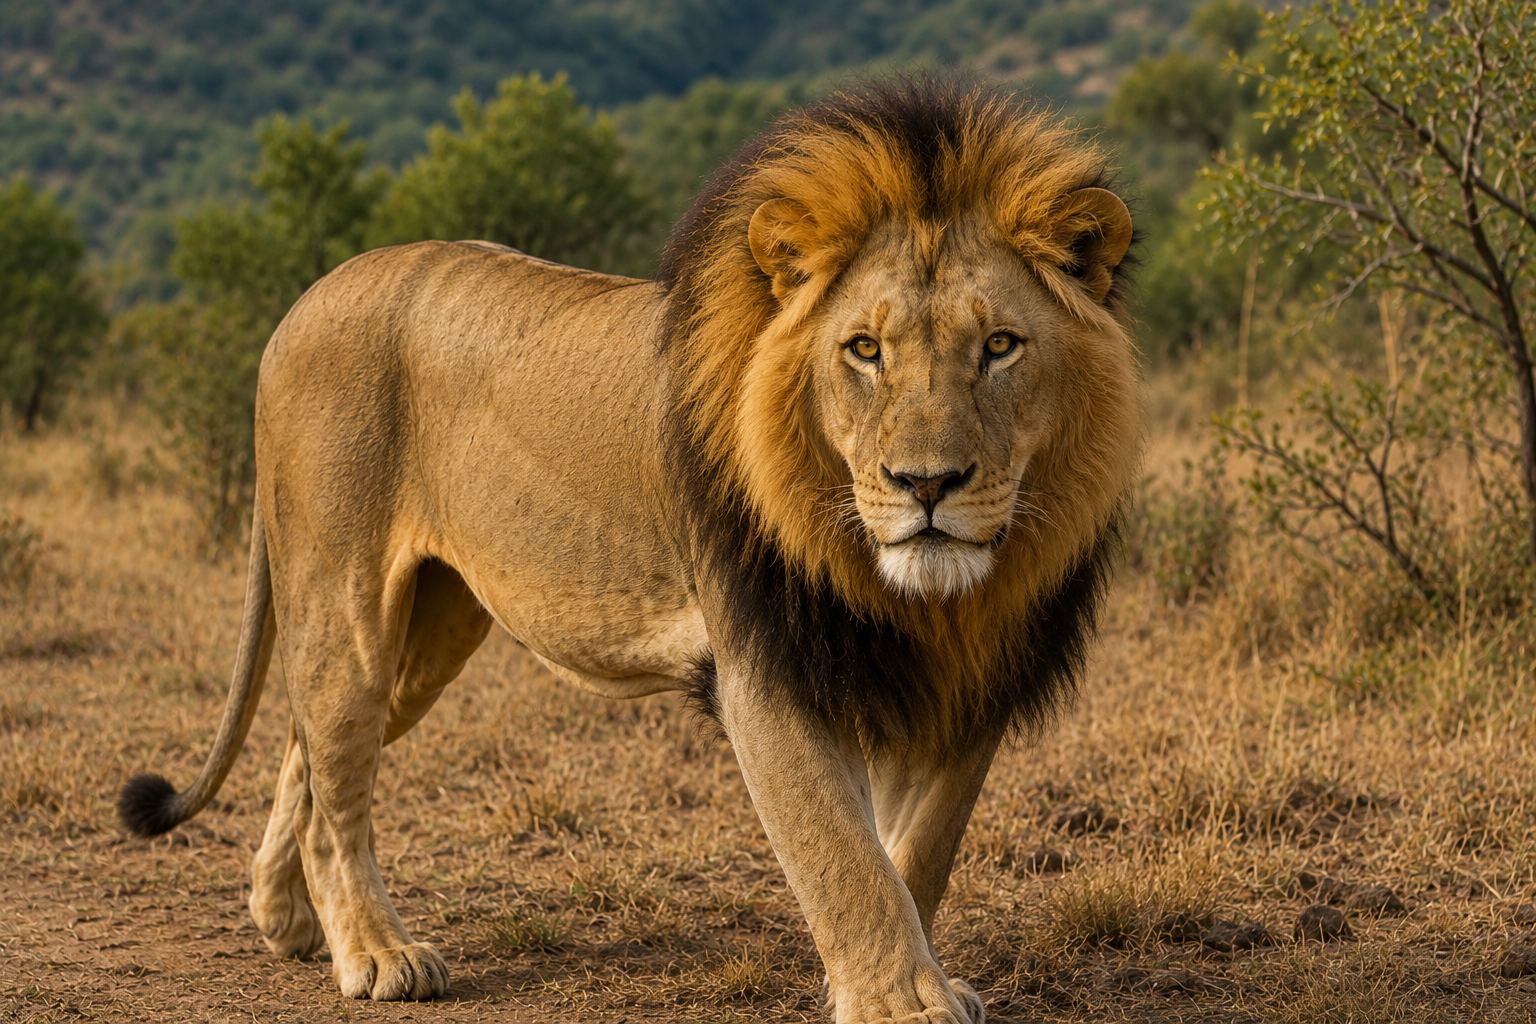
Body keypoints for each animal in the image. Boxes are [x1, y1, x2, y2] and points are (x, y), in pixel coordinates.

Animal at [118, 79, 1138, 1023]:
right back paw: (374, 952)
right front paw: (901, 1003)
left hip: (430, 636)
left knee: (309, 746)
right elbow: (842, 855)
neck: (922, 599)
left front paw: (902, 975)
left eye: (1000, 346)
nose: (928, 484)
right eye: (864, 350)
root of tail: (305, 300)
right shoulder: (768, 668)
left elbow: (915, 854)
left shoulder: (960, 683)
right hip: (349, 600)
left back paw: (287, 918)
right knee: (333, 767)